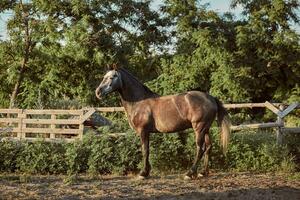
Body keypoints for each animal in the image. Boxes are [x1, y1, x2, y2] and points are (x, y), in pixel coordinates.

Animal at [96, 65, 230, 180]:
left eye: (112, 77)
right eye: (104, 77)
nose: (98, 92)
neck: (139, 102)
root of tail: (211, 98)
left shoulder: (143, 131)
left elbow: (145, 150)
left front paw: (143, 173)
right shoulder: (147, 132)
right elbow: (147, 150)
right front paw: (147, 171)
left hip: (199, 128)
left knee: (200, 149)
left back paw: (189, 173)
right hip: (206, 128)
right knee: (208, 147)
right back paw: (203, 172)